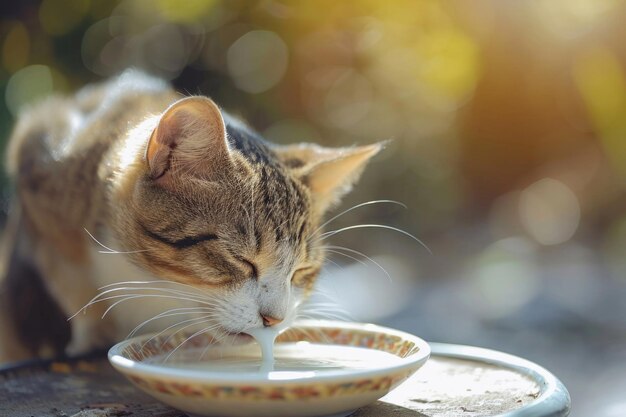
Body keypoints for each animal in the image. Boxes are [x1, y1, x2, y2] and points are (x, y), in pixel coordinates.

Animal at [0, 70, 380, 362]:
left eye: (302, 270)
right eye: (241, 260)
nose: (275, 319)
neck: (154, 283)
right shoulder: (38, 156)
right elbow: (67, 279)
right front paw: (94, 329)